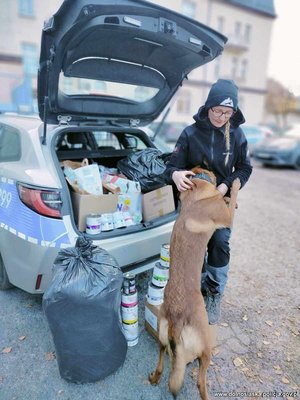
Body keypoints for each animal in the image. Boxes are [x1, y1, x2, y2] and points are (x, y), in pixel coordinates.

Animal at [149, 167, 240, 398]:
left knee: (162, 360)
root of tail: (176, 318)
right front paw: (233, 187)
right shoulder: (227, 218)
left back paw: (154, 378)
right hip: (206, 346)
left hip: (162, 336)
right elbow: (232, 197)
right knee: (200, 381)